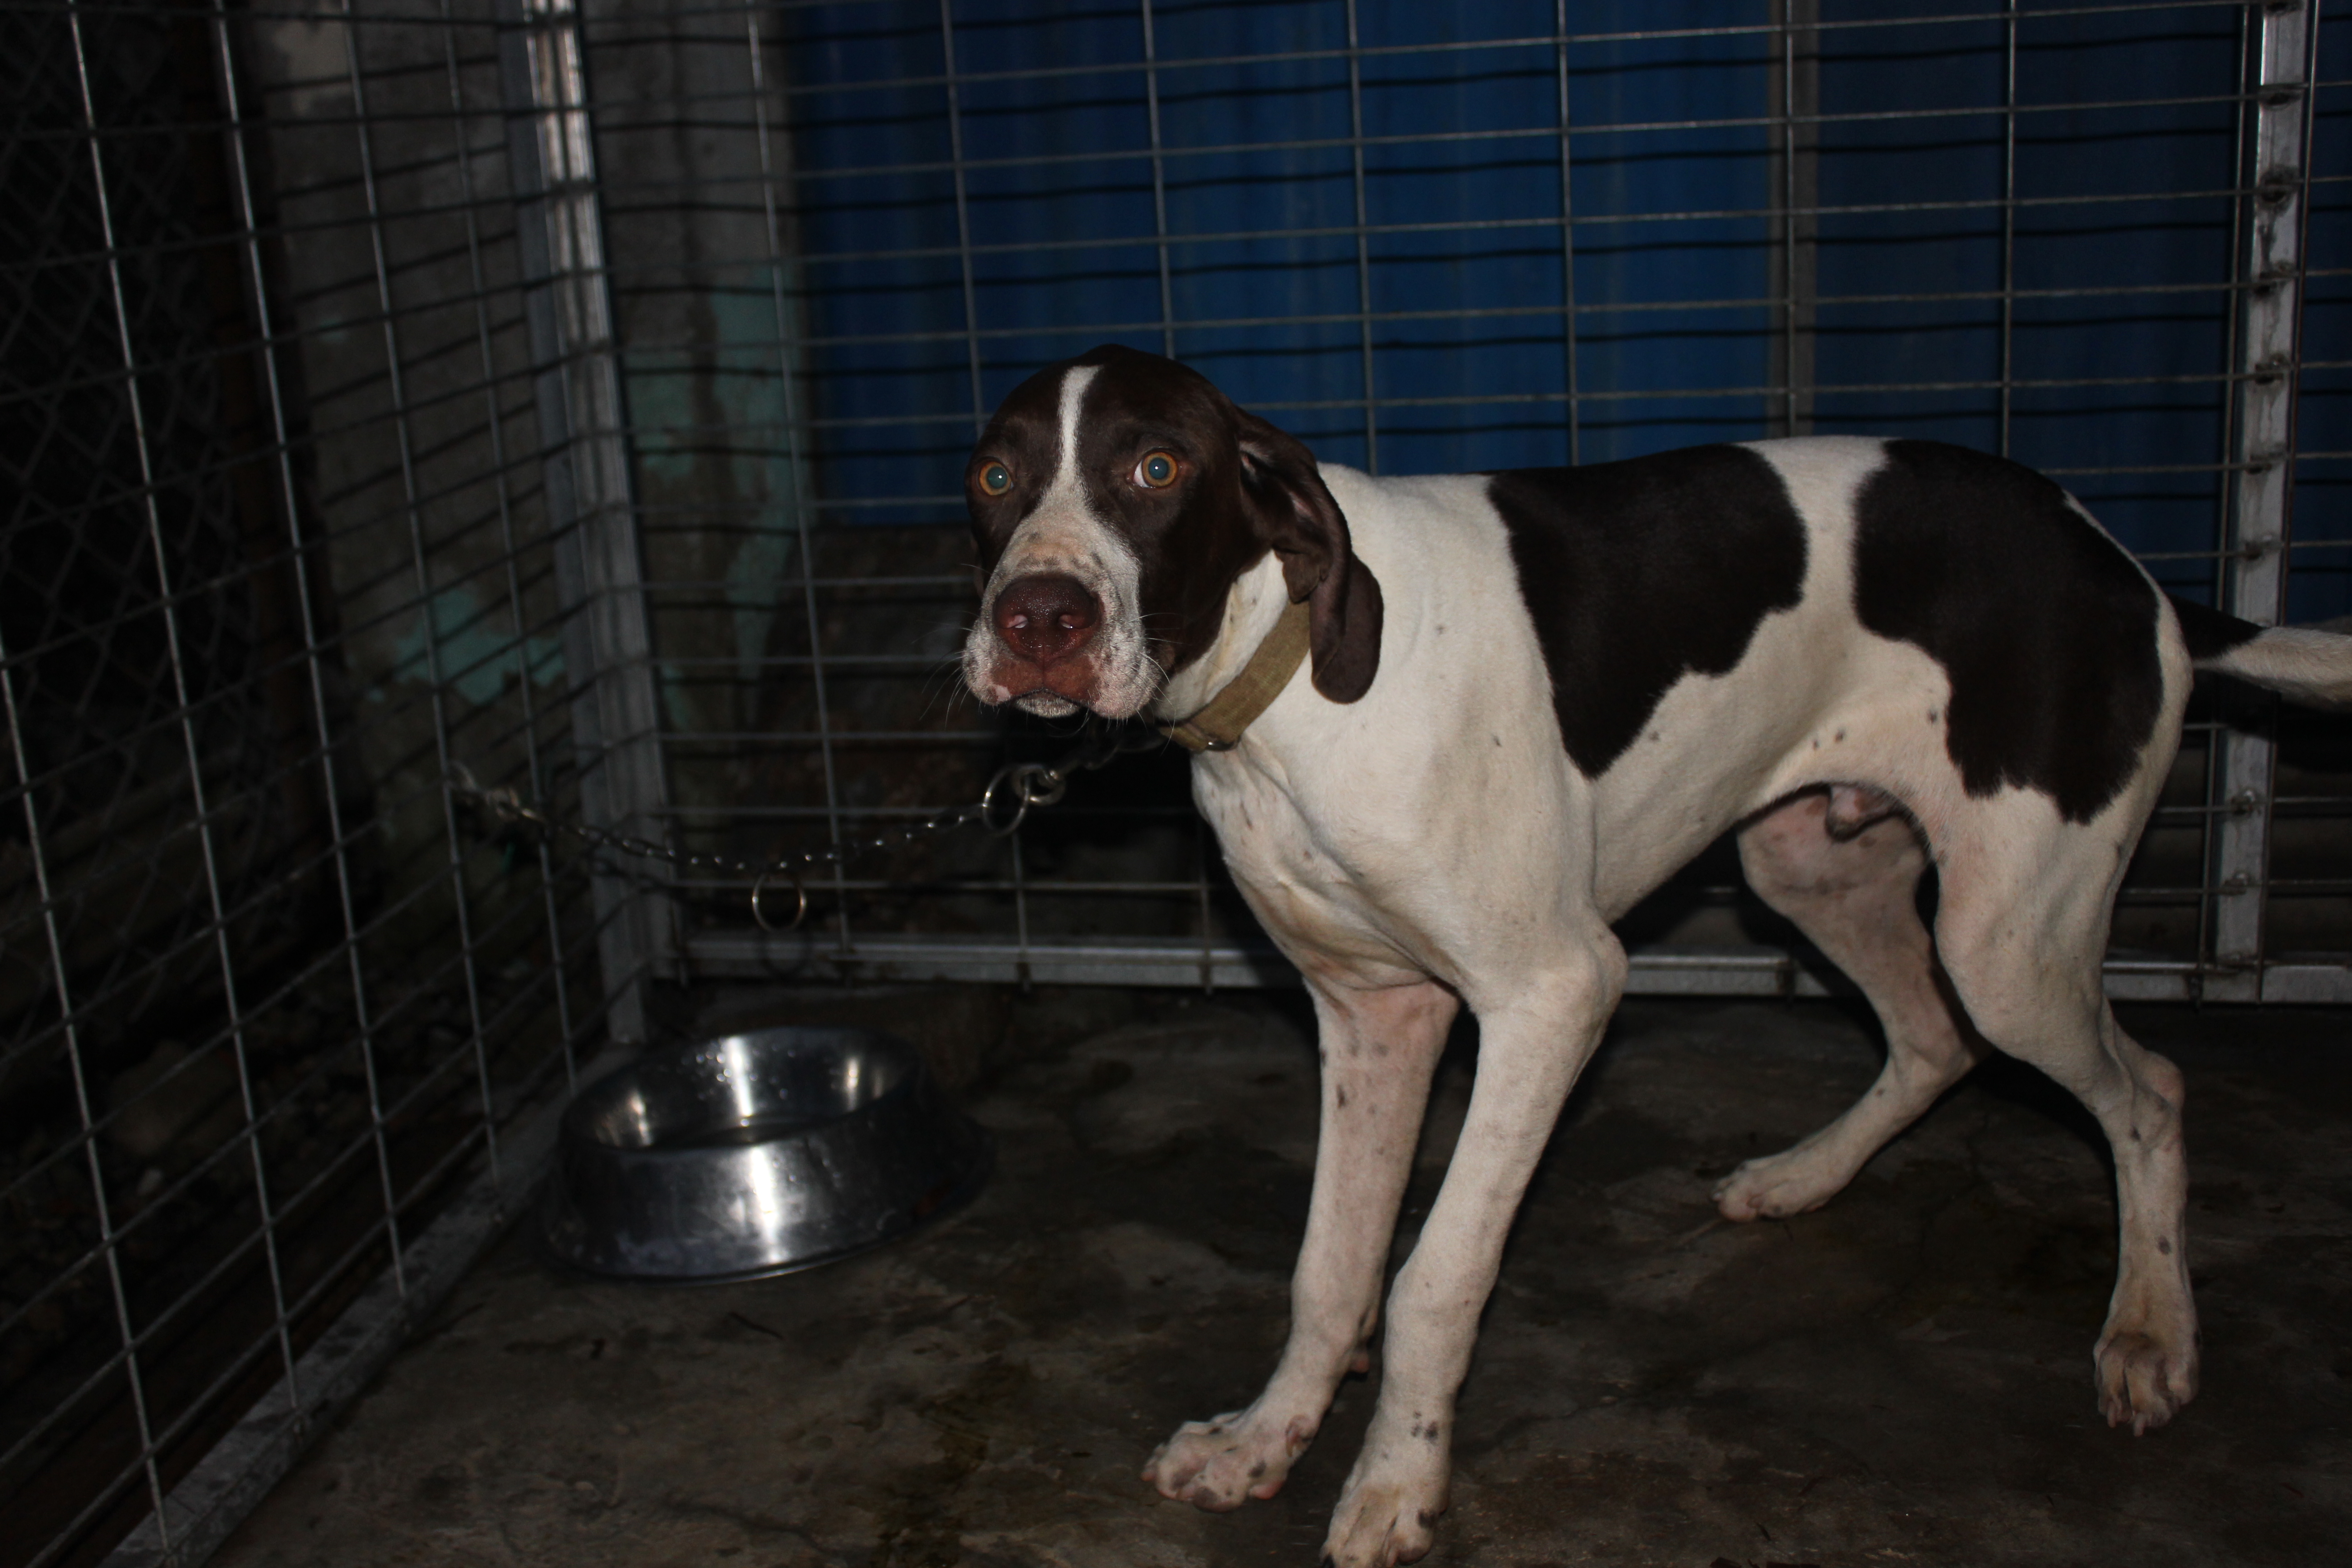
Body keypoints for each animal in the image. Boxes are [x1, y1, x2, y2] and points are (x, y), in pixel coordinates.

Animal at [958, 343, 2352, 1567]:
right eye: (993, 475)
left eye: (1157, 468)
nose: (1037, 620)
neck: (1288, 668)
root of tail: (2124, 567)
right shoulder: (1374, 1014)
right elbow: (1331, 1269)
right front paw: (1267, 1438)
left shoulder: (1554, 998)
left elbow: (1432, 1277)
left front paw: (1396, 1482)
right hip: (1810, 867)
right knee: (1931, 1036)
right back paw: (1802, 1177)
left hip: (2010, 940)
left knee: (2149, 1091)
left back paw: (2152, 1331)